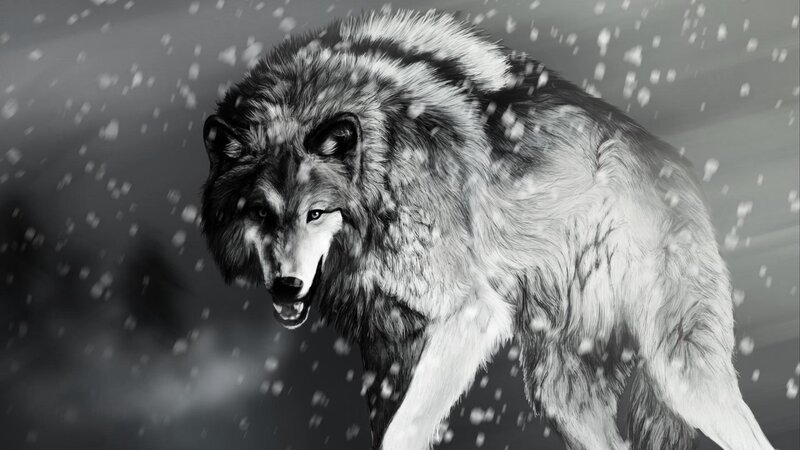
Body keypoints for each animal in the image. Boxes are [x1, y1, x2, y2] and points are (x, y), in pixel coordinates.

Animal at [199, 10, 773, 450]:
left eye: (316, 213)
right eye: (260, 213)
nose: (286, 287)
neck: (381, 167)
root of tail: (676, 164)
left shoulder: (469, 313)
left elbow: (403, 431)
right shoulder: (388, 352)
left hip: (680, 375)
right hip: (559, 395)